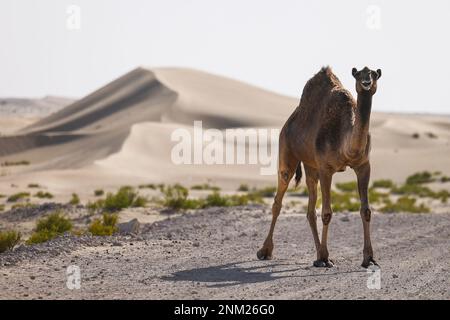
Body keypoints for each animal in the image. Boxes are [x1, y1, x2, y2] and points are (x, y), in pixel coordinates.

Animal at [258, 67, 382, 268]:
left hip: (310, 166)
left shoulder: (363, 166)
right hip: (287, 151)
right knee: (278, 199)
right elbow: (327, 213)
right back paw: (265, 251)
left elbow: (366, 211)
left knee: (310, 210)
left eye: (373, 74)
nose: (366, 83)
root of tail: (289, 122)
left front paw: (368, 258)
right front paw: (325, 258)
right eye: (359, 75)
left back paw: (317, 255)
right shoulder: (326, 169)